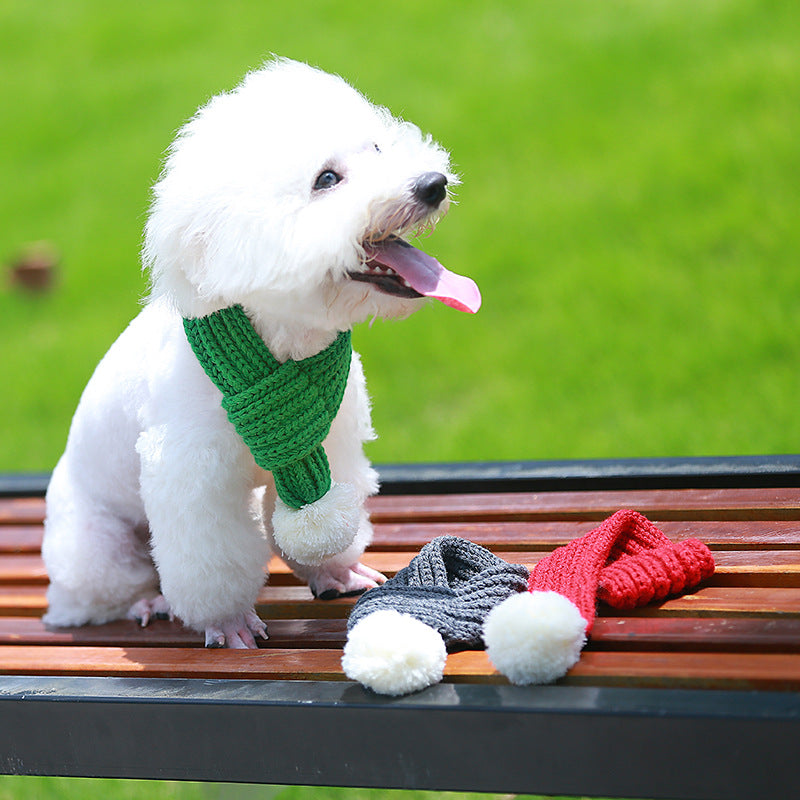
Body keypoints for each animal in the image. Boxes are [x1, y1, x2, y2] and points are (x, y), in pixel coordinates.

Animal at [40, 56, 482, 648]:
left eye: (377, 148)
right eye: (326, 179)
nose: (433, 184)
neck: (282, 345)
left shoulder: (329, 441)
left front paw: (333, 569)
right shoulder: (193, 477)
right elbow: (210, 560)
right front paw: (226, 620)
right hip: (95, 549)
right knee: (108, 591)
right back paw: (146, 600)